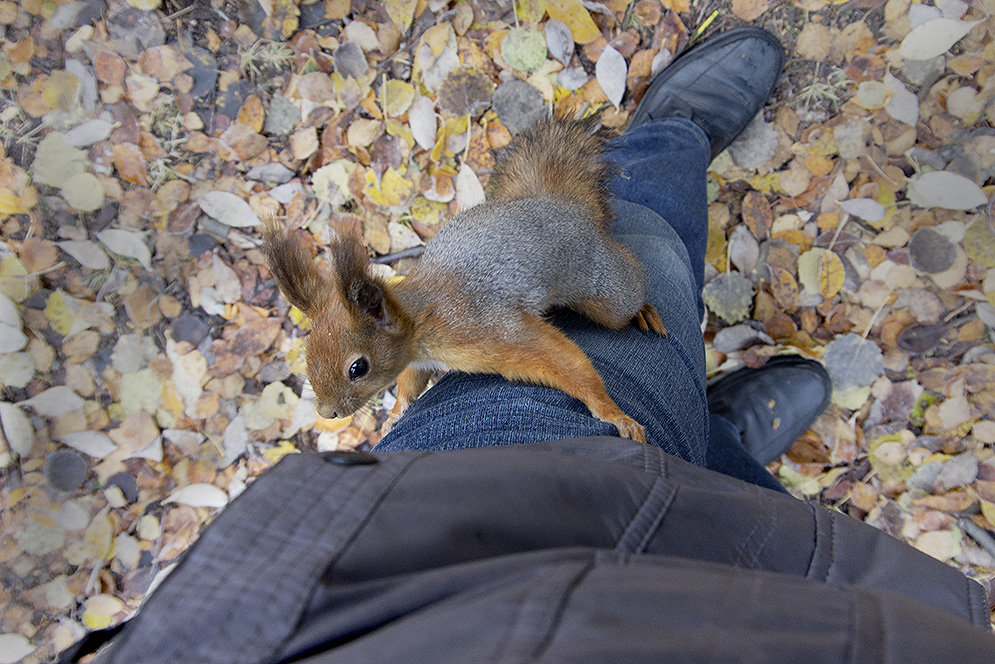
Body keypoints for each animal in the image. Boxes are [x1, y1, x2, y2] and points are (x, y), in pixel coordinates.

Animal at [264, 116, 668, 444]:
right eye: (307, 352)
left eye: (357, 368)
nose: (327, 413)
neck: (420, 323)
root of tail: (562, 206)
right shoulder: (416, 360)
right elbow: (409, 383)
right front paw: (395, 414)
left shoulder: (489, 330)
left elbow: (564, 360)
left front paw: (613, 413)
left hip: (604, 287)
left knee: (627, 288)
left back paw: (644, 311)